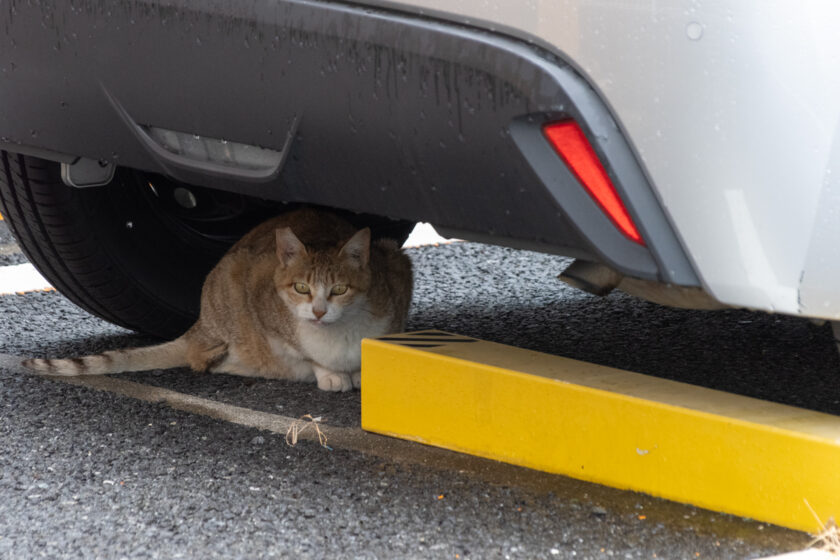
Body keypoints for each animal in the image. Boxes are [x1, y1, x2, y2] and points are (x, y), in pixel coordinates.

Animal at [20, 208, 414, 392]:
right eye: (301, 288)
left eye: (339, 290)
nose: (318, 312)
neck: (337, 333)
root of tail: (199, 324)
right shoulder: (262, 300)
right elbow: (305, 354)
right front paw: (331, 373)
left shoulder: (398, 269)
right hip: (229, 289)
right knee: (206, 359)